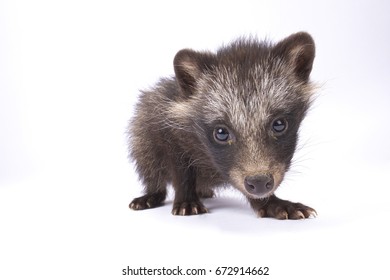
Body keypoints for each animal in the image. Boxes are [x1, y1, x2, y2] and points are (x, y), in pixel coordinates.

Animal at [128, 32, 316, 219]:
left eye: (279, 124)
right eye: (221, 133)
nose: (259, 182)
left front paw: (270, 202)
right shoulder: (168, 128)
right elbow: (180, 167)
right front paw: (186, 198)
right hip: (142, 132)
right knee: (148, 164)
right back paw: (153, 193)